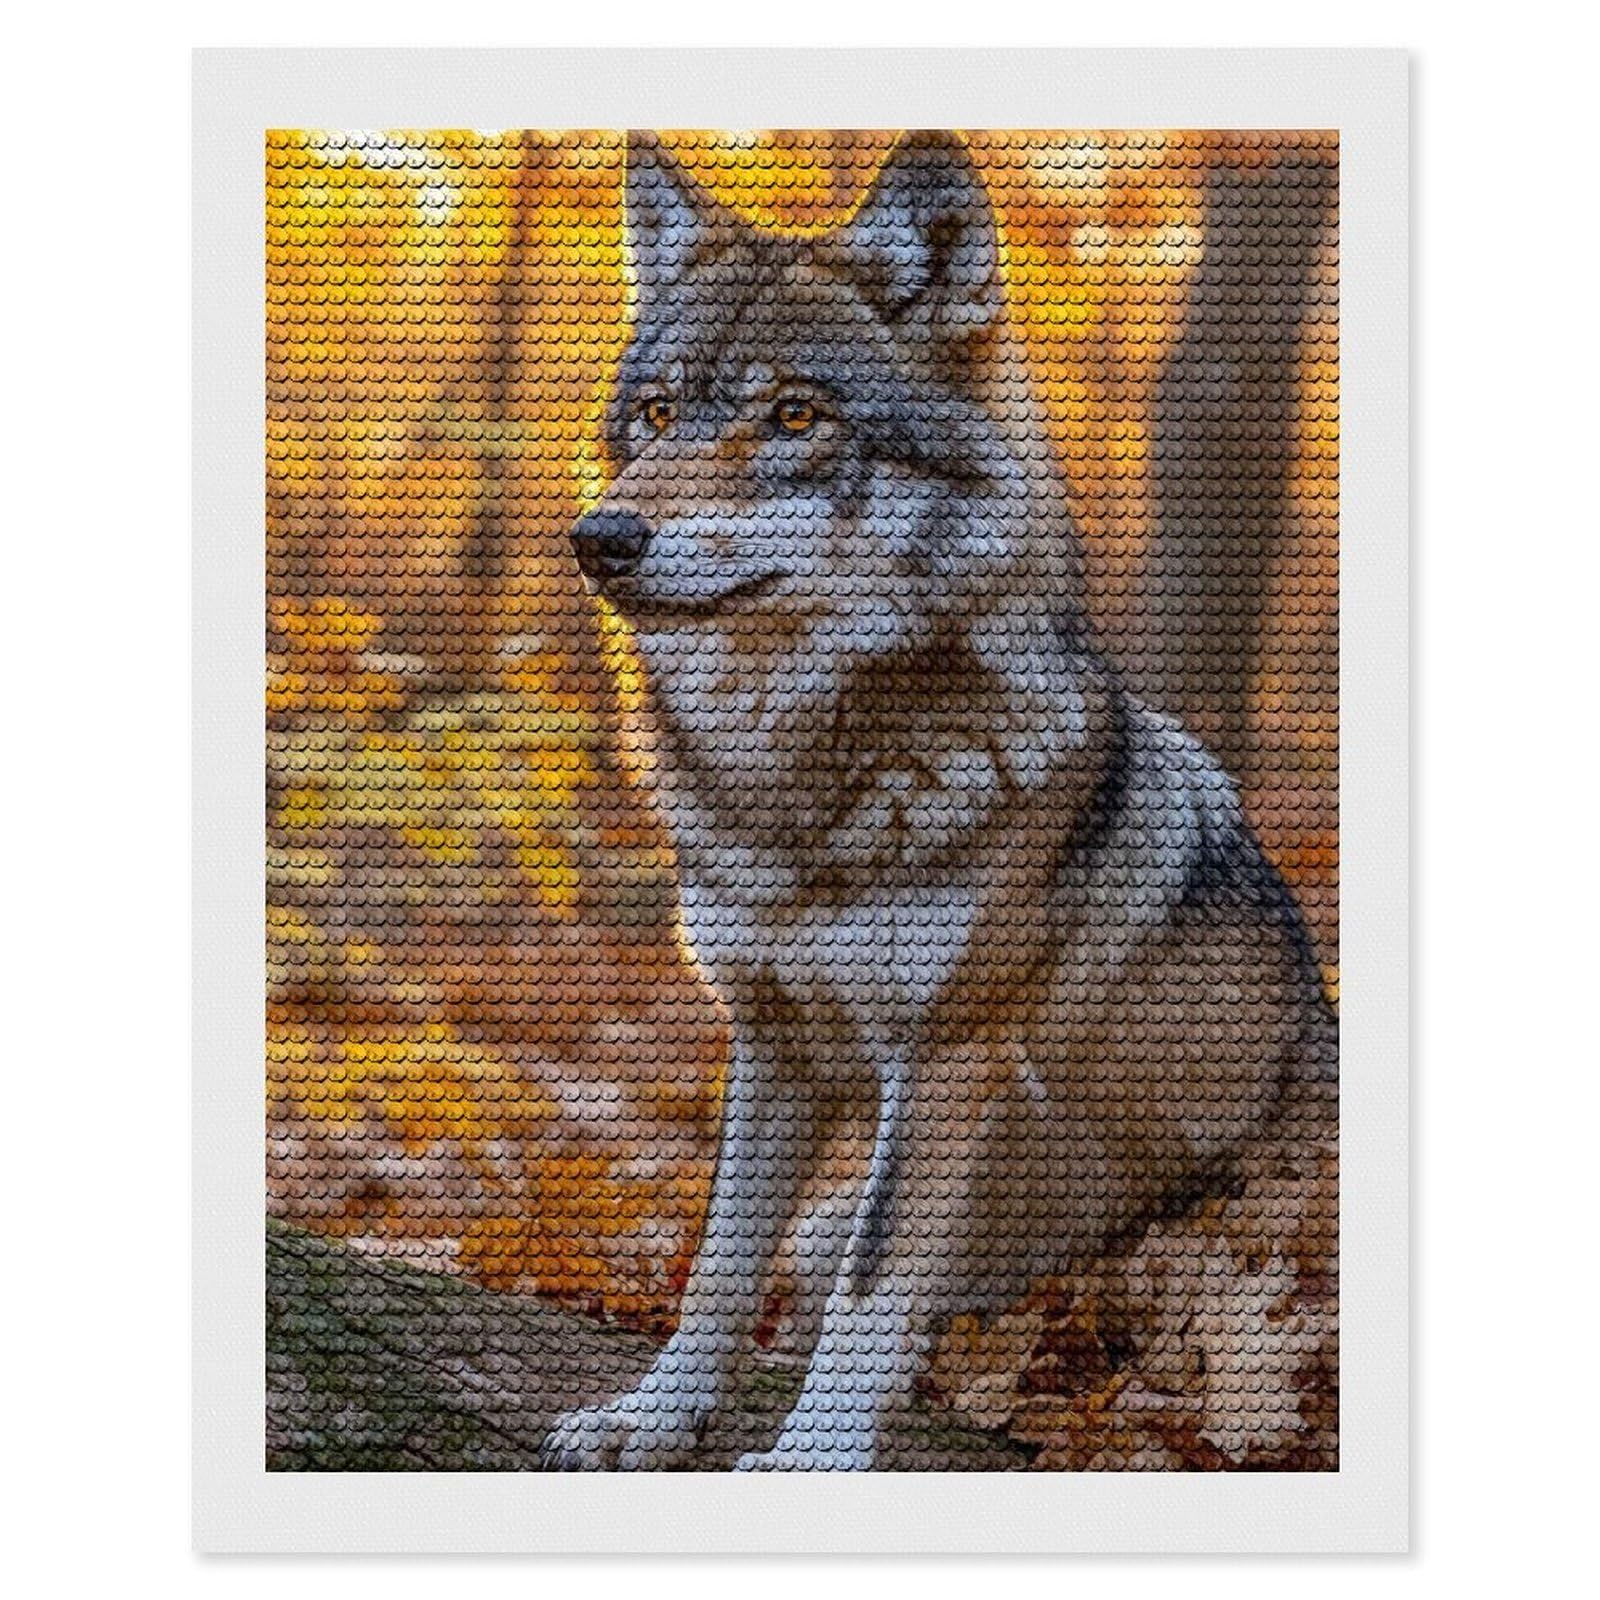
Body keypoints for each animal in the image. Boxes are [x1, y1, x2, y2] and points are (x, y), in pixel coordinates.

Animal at [544, 131, 1336, 1471]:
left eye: (793, 415)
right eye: (654, 415)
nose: (599, 537)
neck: (801, 794)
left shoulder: (947, 1057)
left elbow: (871, 1285)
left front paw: (810, 1456)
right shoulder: (773, 1041)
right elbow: (719, 1260)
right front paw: (654, 1418)